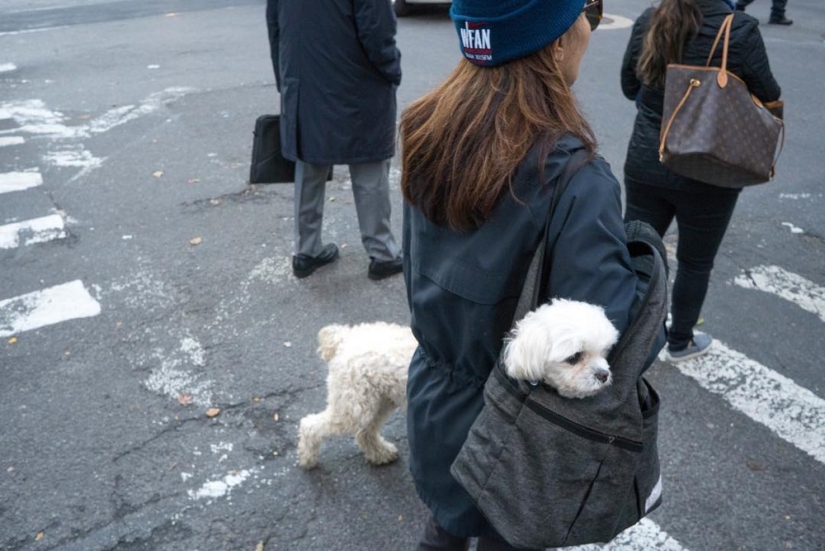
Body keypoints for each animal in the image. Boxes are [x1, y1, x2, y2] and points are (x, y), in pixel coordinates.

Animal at [298, 302, 616, 470]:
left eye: (605, 352)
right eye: (574, 357)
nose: (604, 375)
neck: (516, 353)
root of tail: (344, 338)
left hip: (377, 401)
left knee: (364, 432)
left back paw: (379, 453)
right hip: (353, 404)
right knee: (311, 424)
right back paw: (308, 457)